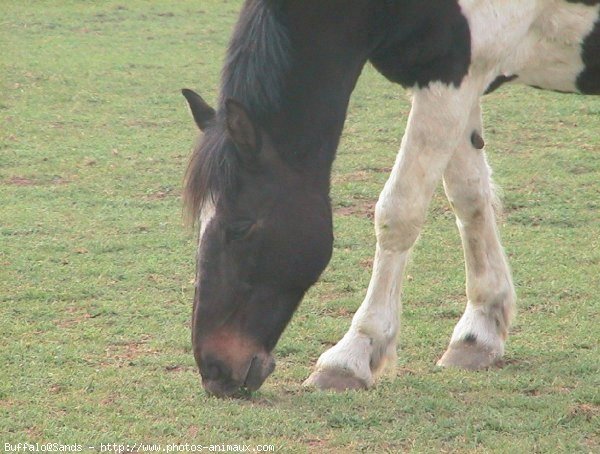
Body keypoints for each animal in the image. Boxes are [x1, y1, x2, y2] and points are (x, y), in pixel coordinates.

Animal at [180, 0, 596, 398]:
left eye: (241, 227)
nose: (213, 369)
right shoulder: (457, 83)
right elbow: (469, 194)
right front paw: (480, 331)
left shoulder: (449, 77)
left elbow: (399, 212)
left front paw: (353, 354)